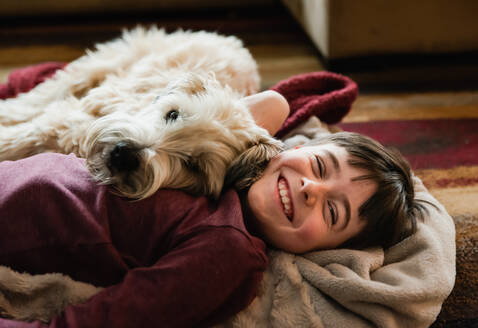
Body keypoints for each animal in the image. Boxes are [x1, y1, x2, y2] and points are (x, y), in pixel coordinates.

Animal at [0, 25, 282, 199]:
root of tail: (231, 40)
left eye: (194, 166)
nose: (124, 154)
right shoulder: (67, 116)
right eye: (172, 114)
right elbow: (17, 135)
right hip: (106, 64)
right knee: (42, 95)